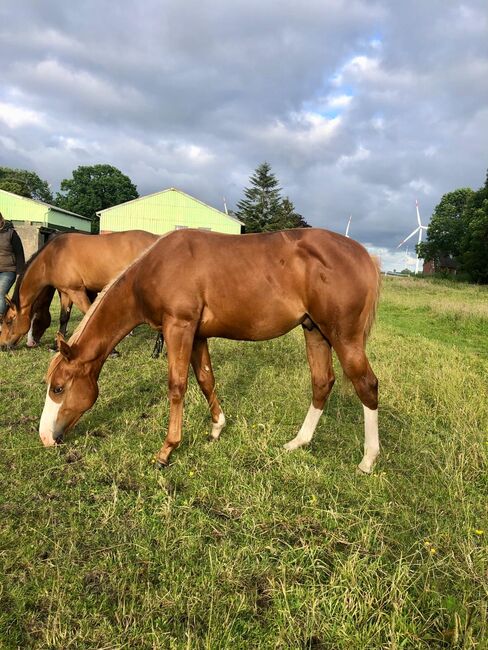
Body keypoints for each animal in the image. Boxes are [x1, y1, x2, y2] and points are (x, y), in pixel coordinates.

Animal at [0, 229, 156, 346]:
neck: (53, 256)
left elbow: (88, 313)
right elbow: (64, 317)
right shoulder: (66, 292)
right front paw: (57, 345)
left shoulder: (77, 291)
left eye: (9, 321)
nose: (2, 345)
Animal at [39, 228, 382, 470]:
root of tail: (365, 255)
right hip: (315, 332)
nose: (45, 438)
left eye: (58, 388)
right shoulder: (197, 335)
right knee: (322, 383)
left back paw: (367, 460)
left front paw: (167, 450)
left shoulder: (179, 327)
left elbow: (177, 386)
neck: (154, 268)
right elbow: (206, 379)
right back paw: (298, 442)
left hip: (344, 337)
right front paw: (217, 427)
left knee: (367, 385)